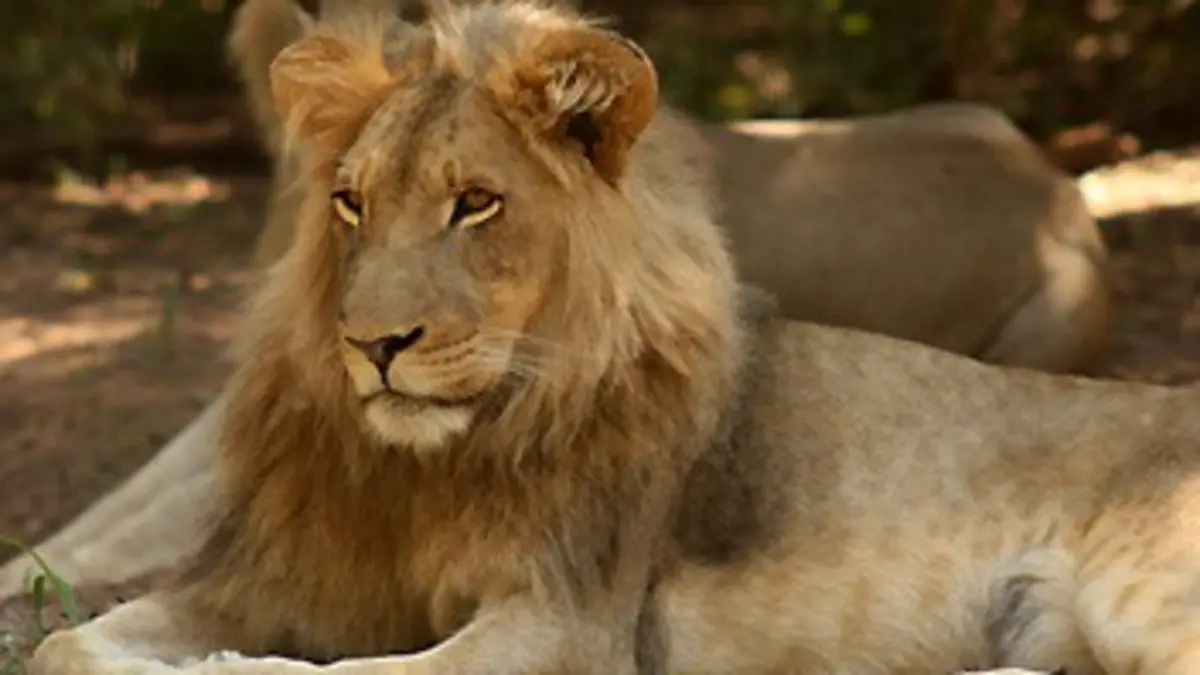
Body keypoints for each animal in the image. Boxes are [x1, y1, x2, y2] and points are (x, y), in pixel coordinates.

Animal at [25, 3, 1200, 675]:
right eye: (350, 202)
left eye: (476, 204)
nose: (373, 344)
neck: (423, 467)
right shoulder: (279, 578)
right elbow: (61, 644)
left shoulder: (569, 626)